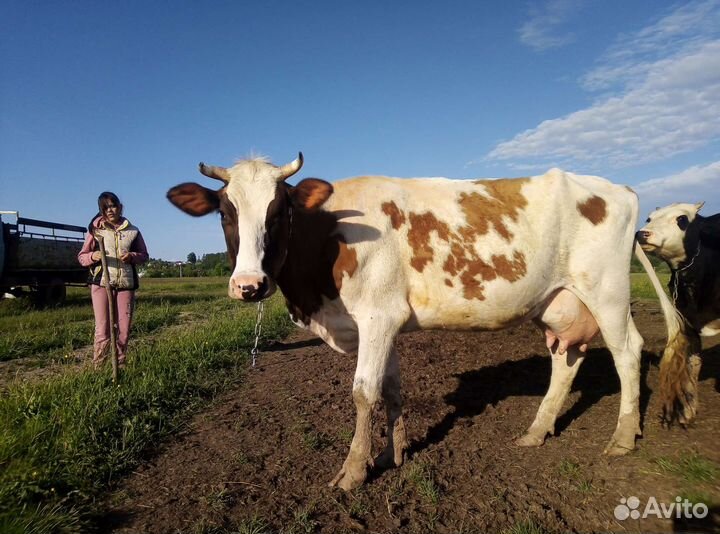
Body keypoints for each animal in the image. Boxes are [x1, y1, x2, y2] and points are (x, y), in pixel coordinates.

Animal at [167, 153, 684, 490]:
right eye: (225, 212)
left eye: (280, 210)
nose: (248, 285)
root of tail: (618, 189)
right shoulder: (386, 323)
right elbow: (392, 389)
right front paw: (392, 454)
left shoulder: (377, 316)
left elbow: (363, 393)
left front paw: (353, 471)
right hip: (559, 303)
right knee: (567, 360)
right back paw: (537, 431)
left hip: (607, 292)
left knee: (627, 352)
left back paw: (622, 437)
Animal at [637, 202, 720, 424]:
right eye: (648, 218)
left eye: (681, 219)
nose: (642, 234)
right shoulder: (688, 321)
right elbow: (693, 361)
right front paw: (689, 410)